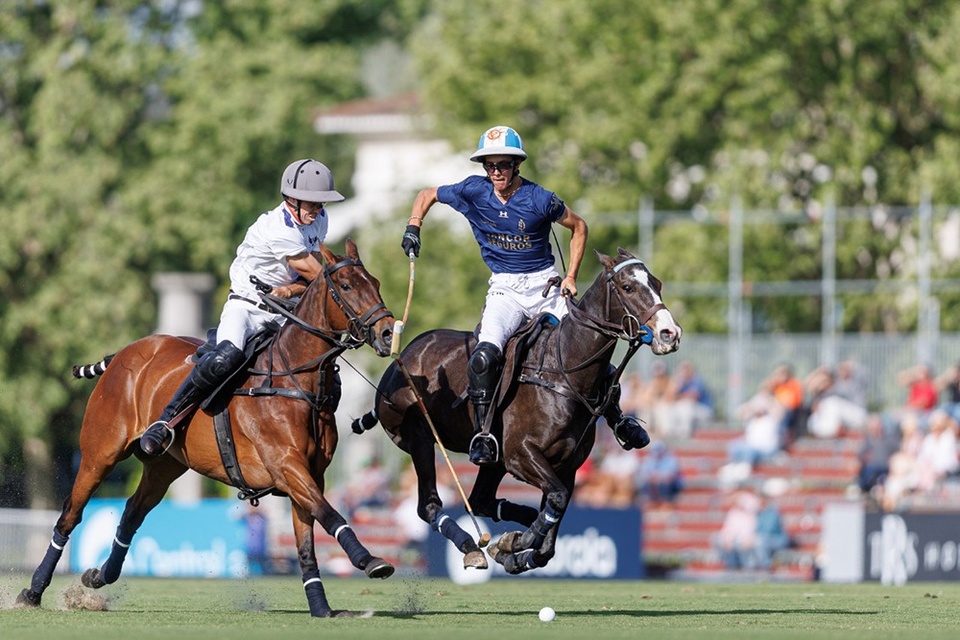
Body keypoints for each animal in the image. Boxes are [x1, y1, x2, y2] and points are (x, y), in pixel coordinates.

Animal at [16, 239, 398, 616]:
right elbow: (329, 513)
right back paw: (32, 592)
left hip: (164, 465)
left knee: (132, 512)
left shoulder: (310, 474)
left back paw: (98, 576)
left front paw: (322, 608)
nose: (387, 332)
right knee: (70, 515)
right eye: (346, 286)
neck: (296, 378)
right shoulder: (286, 466)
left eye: (376, 283)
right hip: (100, 453)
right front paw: (370, 561)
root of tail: (123, 353)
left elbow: (307, 540)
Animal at [354, 249, 684, 576]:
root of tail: (402, 356)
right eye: (627, 287)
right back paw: (478, 545)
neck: (563, 371)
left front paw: (513, 551)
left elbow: (552, 528)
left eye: (657, 283)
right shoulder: (521, 455)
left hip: (493, 461)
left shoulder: (567, 467)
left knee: (480, 500)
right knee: (431, 504)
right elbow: (555, 504)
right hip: (421, 439)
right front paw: (519, 541)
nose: (670, 333)